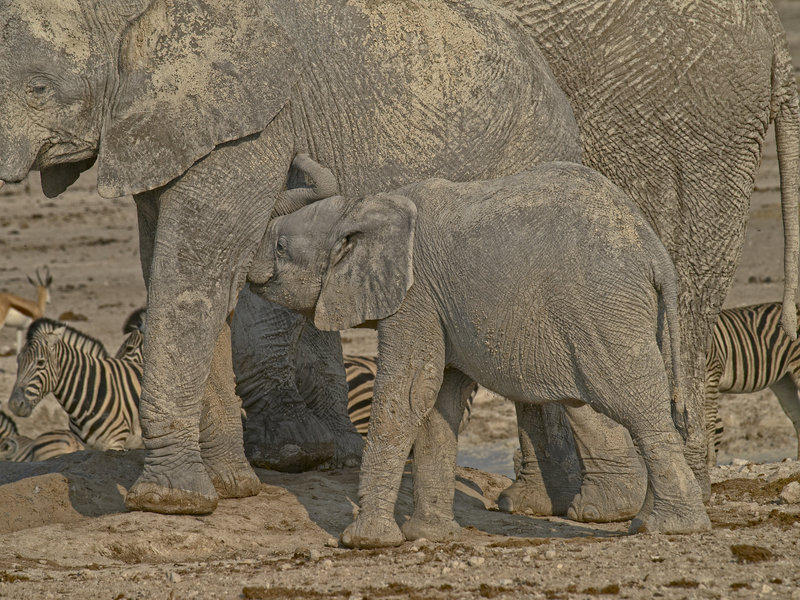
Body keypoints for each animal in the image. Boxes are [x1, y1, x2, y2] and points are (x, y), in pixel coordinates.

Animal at [250, 157, 712, 548]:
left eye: (281, 249)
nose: (297, 155)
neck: (363, 206)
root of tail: (655, 251)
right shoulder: (439, 306)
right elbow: (438, 401)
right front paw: (429, 536)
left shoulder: (415, 297)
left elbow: (410, 391)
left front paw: (366, 541)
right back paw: (646, 521)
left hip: (604, 308)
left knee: (635, 405)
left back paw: (670, 527)